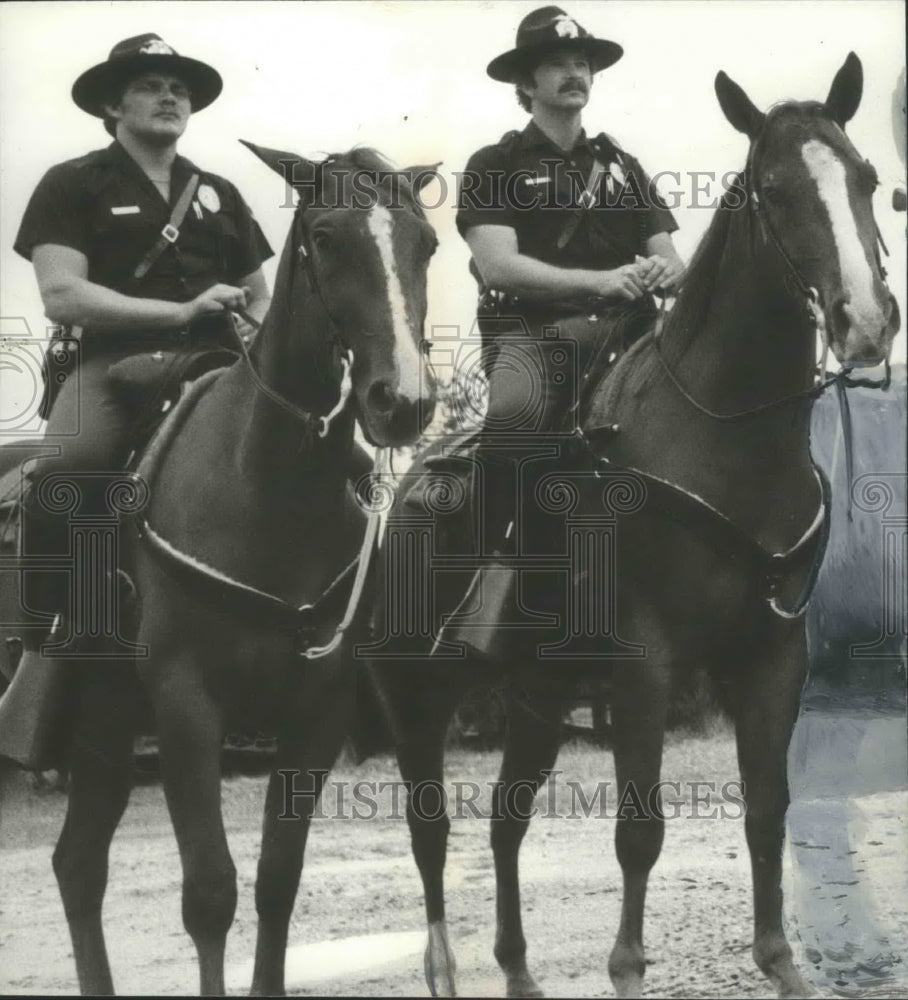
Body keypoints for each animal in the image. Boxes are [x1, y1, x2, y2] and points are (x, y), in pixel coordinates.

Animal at [6, 145, 440, 996]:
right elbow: (210, 892)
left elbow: (277, 881)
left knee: (77, 864)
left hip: (108, 725)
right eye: (326, 237)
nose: (401, 401)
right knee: (81, 867)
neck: (265, 485)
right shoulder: (186, 705)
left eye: (429, 242)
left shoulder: (318, 712)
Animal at [370, 56, 900, 1000]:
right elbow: (640, 829)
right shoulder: (644, 665)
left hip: (537, 698)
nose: (866, 322)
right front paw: (625, 969)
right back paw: (444, 968)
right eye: (774, 188)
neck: (723, 438)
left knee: (505, 821)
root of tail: (408, 490)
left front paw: (780, 962)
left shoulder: (773, 658)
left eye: (867, 178)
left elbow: (766, 812)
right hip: (415, 696)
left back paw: (518, 971)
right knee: (431, 830)